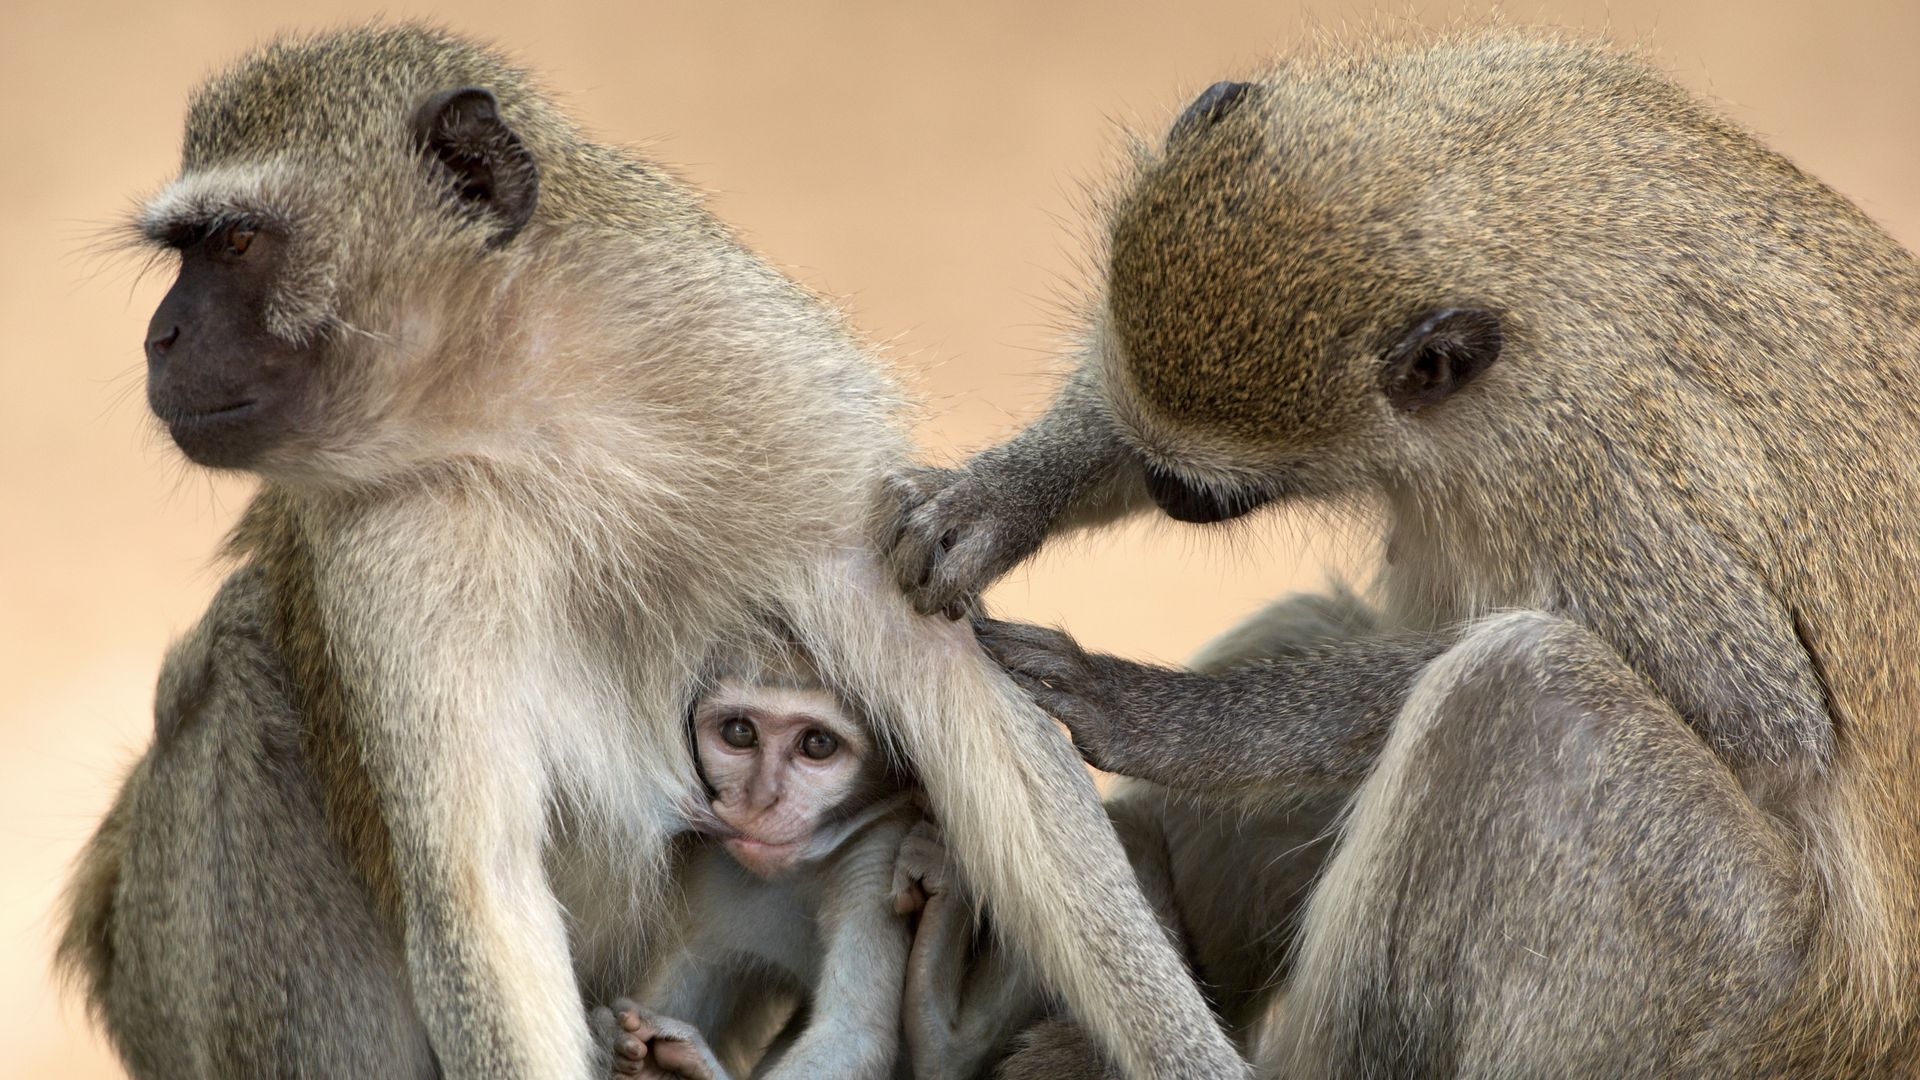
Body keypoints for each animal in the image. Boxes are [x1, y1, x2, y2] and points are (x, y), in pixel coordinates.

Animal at [57, 23, 1245, 1080]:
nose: (160, 338)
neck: (530, 400)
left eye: (234, 243)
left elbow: (975, 722)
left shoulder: (759, 375)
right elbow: (482, 895)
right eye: (189, 252)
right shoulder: (384, 547)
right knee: (239, 669)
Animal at [890, 30, 1920, 1077]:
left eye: (1207, 496)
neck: (1492, 189)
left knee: (1517, 691)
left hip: (1743, 995)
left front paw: (1160, 716)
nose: (1165, 487)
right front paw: (999, 500)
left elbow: (1758, 716)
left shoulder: (1583, 453)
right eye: (1161, 470)